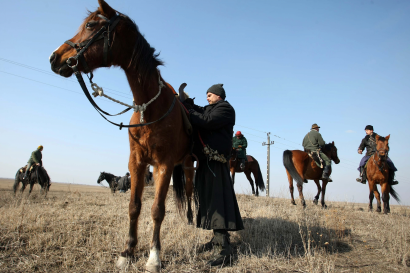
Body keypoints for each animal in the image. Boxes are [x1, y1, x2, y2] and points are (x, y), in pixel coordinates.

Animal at [48, 1, 193, 270]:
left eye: (91, 25)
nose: (55, 57)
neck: (149, 108)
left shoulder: (164, 165)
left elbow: (157, 209)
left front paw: (154, 257)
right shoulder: (136, 162)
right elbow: (134, 206)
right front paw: (128, 252)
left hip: (188, 165)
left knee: (189, 192)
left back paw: (191, 219)